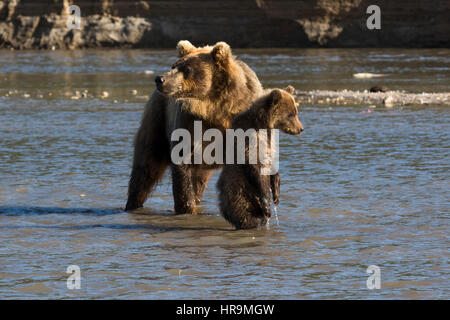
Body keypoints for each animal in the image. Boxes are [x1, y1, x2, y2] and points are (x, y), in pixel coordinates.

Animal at [125, 40, 266, 215]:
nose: (160, 79)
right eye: (174, 65)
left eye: (187, 68)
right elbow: (181, 162)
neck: (216, 108)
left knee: (198, 179)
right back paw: (133, 203)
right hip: (158, 119)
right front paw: (187, 209)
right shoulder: (190, 121)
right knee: (146, 166)